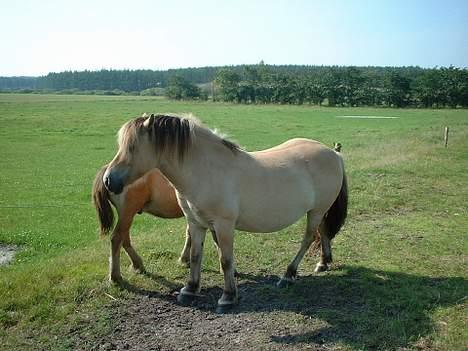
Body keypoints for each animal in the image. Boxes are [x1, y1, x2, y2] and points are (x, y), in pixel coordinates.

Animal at [102, 114, 346, 312]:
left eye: (133, 147)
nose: (108, 181)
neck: (206, 170)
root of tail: (333, 154)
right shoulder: (196, 223)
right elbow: (195, 256)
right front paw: (190, 289)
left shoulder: (223, 225)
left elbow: (226, 260)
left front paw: (228, 297)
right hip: (319, 210)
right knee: (324, 232)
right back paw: (323, 263)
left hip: (316, 210)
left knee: (308, 238)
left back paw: (288, 275)